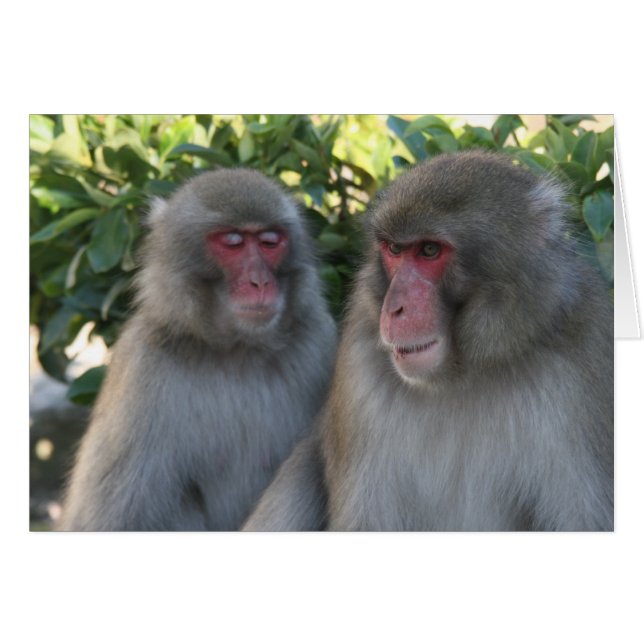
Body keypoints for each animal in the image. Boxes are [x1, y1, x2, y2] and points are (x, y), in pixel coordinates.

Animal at [57, 168, 336, 531]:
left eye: (269, 241)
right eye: (232, 242)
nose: (260, 282)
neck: (238, 350)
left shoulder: (318, 340)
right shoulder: (142, 366)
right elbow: (107, 521)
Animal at [243, 150, 614, 532]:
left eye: (430, 250)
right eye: (394, 249)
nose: (394, 308)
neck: (464, 373)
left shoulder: (582, 357)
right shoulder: (360, 363)